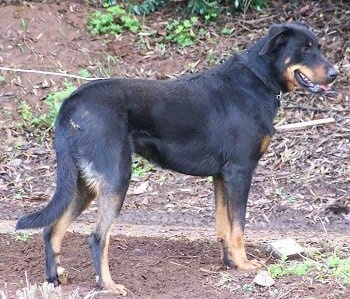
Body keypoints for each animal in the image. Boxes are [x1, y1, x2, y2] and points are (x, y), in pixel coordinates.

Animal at [15, 22, 336, 296]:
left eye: (318, 46)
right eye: (305, 48)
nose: (335, 74)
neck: (258, 80)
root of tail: (72, 101)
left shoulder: (221, 176)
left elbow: (224, 226)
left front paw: (229, 263)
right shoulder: (240, 171)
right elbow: (238, 227)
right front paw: (244, 264)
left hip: (84, 183)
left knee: (51, 229)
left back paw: (54, 279)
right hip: (116, 178)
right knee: (96, 237)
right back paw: (108, 285)